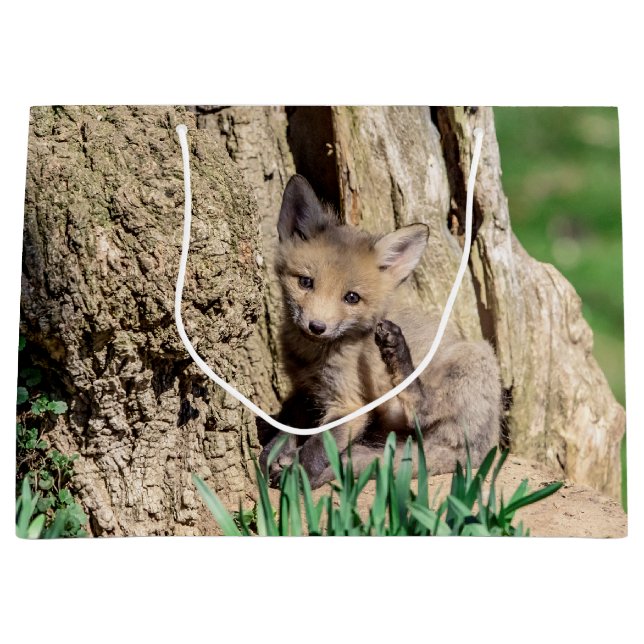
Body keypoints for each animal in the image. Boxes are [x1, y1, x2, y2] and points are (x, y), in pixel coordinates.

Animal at [258, 174, 501, 489]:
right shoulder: (306, 390)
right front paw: (274, 452)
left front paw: (298, 474)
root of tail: (479, 450)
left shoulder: (350, 404)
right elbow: (288, 425)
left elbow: (318, 445)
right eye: (305, 282)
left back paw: (397, 352)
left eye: (351, 297)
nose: (317, 327)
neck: (313, 357)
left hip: (474, 357)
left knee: (422, 408)